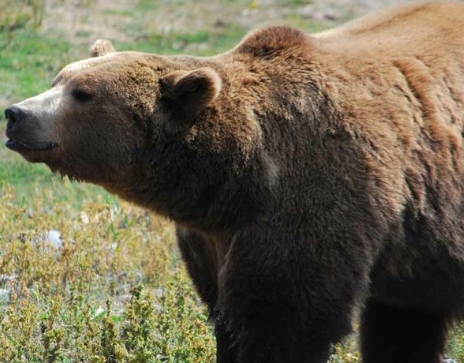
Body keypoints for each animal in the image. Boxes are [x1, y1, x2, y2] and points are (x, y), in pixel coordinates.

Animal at [4, 2, 464, 363]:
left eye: (83, 93)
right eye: (58, 79)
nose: (15, 113)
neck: (239, 176)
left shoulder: (317, 193)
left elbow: (284, 317)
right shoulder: (211, 238)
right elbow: (225, 315)